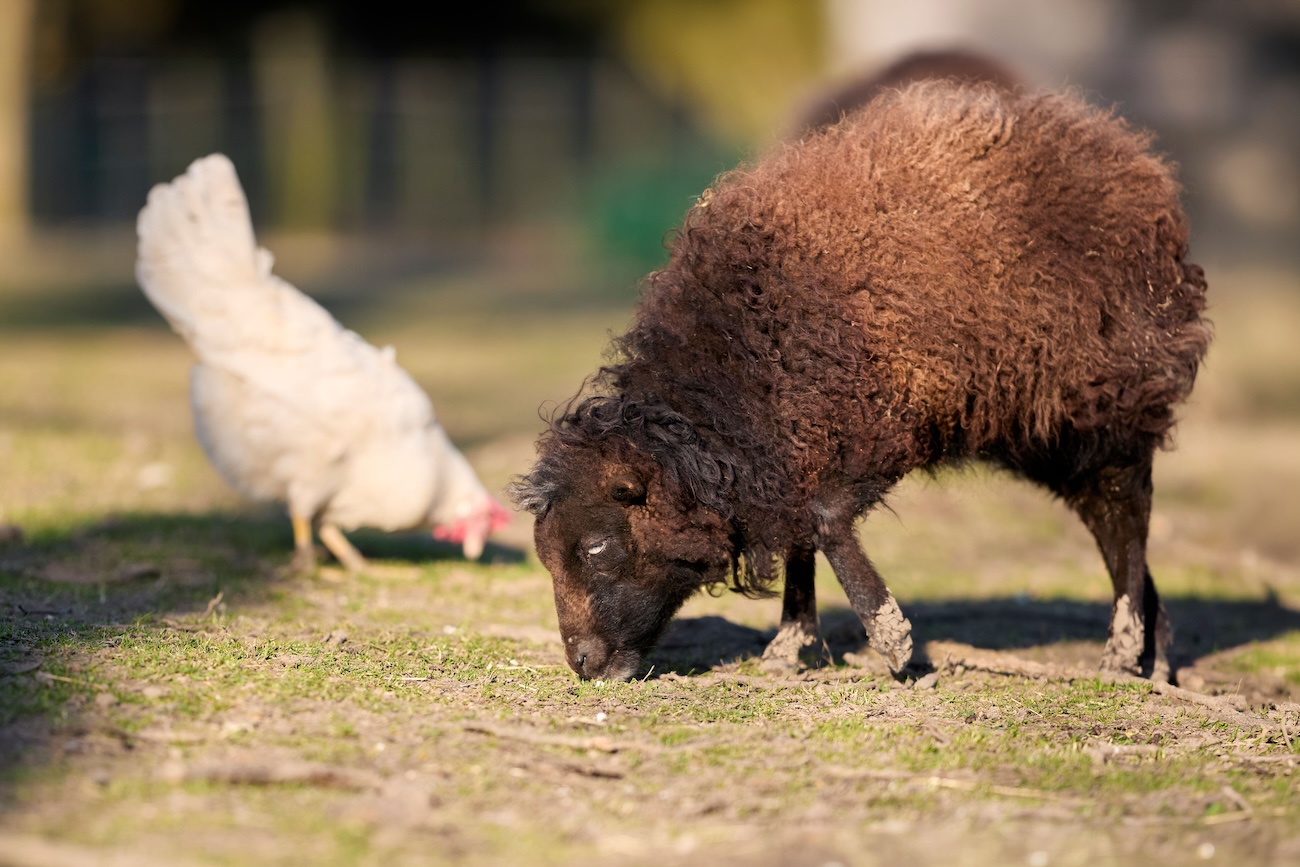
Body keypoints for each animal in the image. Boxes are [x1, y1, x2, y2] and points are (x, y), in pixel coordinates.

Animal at [510, 80, 1211, 684]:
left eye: (597, 545)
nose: (582, 664)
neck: (732, 365)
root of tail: (1132, 159)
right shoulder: (793, 447)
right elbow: (799, 533)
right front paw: (791, 646)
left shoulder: (882, 413)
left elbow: (822, 522)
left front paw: (891, 638)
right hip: (1043, 429)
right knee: (1111, 523)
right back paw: (1156, 653)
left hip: (1105, 401)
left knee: (1127, 512)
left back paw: (1122, 651)